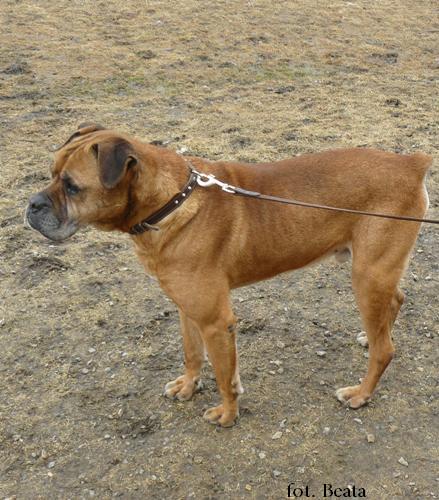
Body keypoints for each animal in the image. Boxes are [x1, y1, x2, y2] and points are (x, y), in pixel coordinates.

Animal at [26, 124, 432, 427]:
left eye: (72, 186)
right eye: (51, 173)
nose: (31, 205)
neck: (169, 203)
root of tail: (411, 163)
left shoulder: (216, 321)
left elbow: (223, 374)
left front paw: (227, 413)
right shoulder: (187, 309)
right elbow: (192, 353)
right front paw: (188, 386)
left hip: (367, 276)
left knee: (385, 349)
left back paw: (361, 393)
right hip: (374, 272)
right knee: (395, 303)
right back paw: (370, 336)